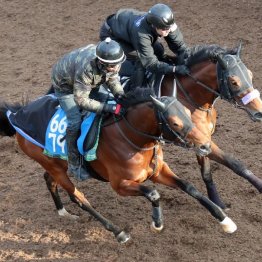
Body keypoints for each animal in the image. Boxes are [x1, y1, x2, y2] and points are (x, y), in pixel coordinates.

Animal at [0, 88, 236, 244]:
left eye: (188, 113)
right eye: (175, 123)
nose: (205, 145)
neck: (133, 139)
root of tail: (17, 114)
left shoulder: (158, 171)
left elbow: (190, 187)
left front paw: (225, 221)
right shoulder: (120, 185)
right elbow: (153, 193)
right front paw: (156, 223)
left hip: (56, 164)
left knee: (49, 181)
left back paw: (63, 212)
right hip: (57, 167)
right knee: (78, 197)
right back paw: (118, 232)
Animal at [162, 44, 262, 210]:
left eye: (251, 75)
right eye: (233, 82)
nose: (259, 112)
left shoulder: (204, 141)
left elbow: (221, 167)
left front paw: (218, 202)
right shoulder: (199, 141)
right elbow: (224, 164)